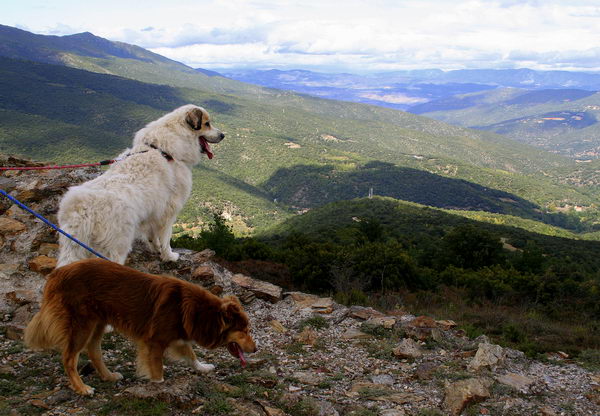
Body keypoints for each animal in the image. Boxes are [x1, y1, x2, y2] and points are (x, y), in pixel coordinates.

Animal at [24, 258, 255, 394]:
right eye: (243, 331)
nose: (256, 349)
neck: (201, 312)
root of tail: (57, 273)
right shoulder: (155, 341)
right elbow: (157, 367)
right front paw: (158, 384)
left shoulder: (178, 335)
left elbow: (191, 354)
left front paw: (202, 367)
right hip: (82, 325)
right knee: (69, 358)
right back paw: (82, 388)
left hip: (98, 323)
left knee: (94, 351)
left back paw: (108, 376)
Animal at [56, 104, 224, 266]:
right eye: (207, 124)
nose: (223, 135)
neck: (164, 149)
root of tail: (80, 211)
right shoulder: (169, 211)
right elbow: (166, 238)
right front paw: (169, 256)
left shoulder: (154, 212)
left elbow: (153, 235)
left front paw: (155, 248)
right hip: (115, 247)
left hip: (75, 248)